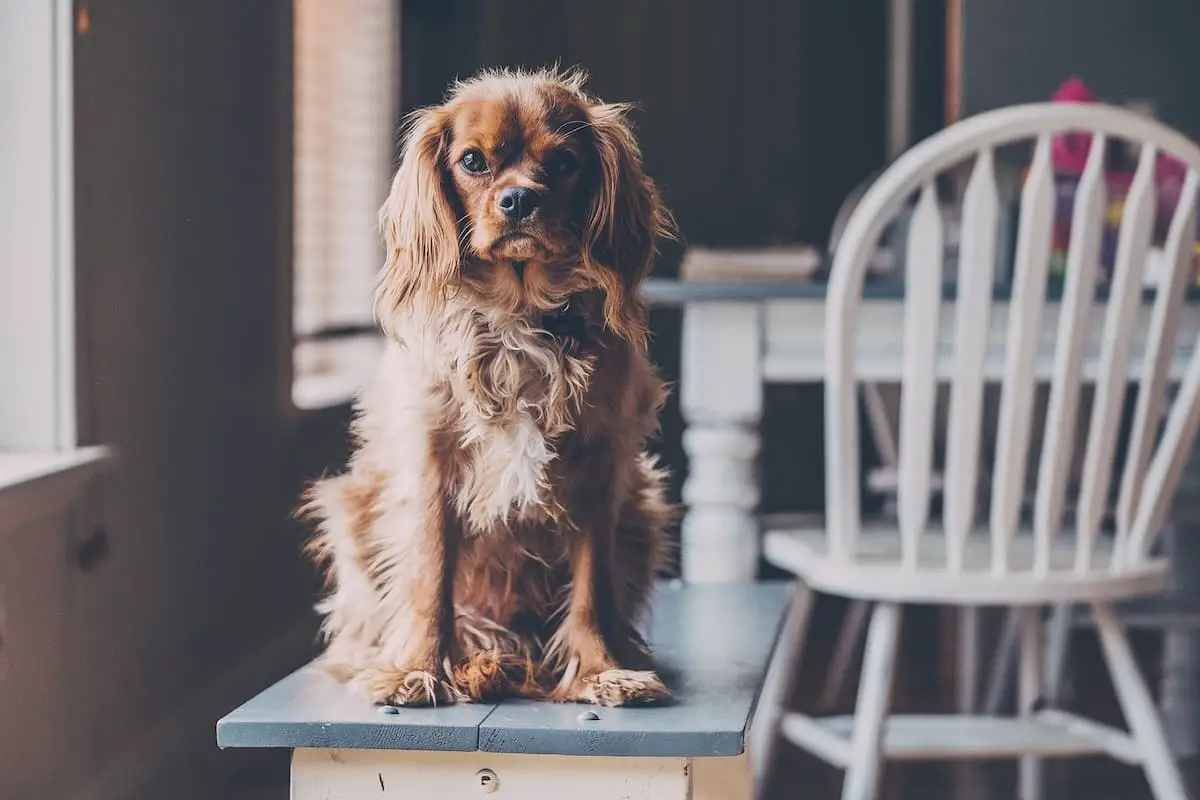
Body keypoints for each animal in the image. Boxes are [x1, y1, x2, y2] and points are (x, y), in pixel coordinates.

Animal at [302, 67, 676, 705]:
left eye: (564, 162)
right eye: (473, 161)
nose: (519, 198)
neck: (518, 310)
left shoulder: (601, 467)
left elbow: (592, 587)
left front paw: (601, 671)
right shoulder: (433, 462)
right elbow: (431, 578)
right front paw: (417, 669)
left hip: (643, 509)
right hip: (351, 506)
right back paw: (462, 663)